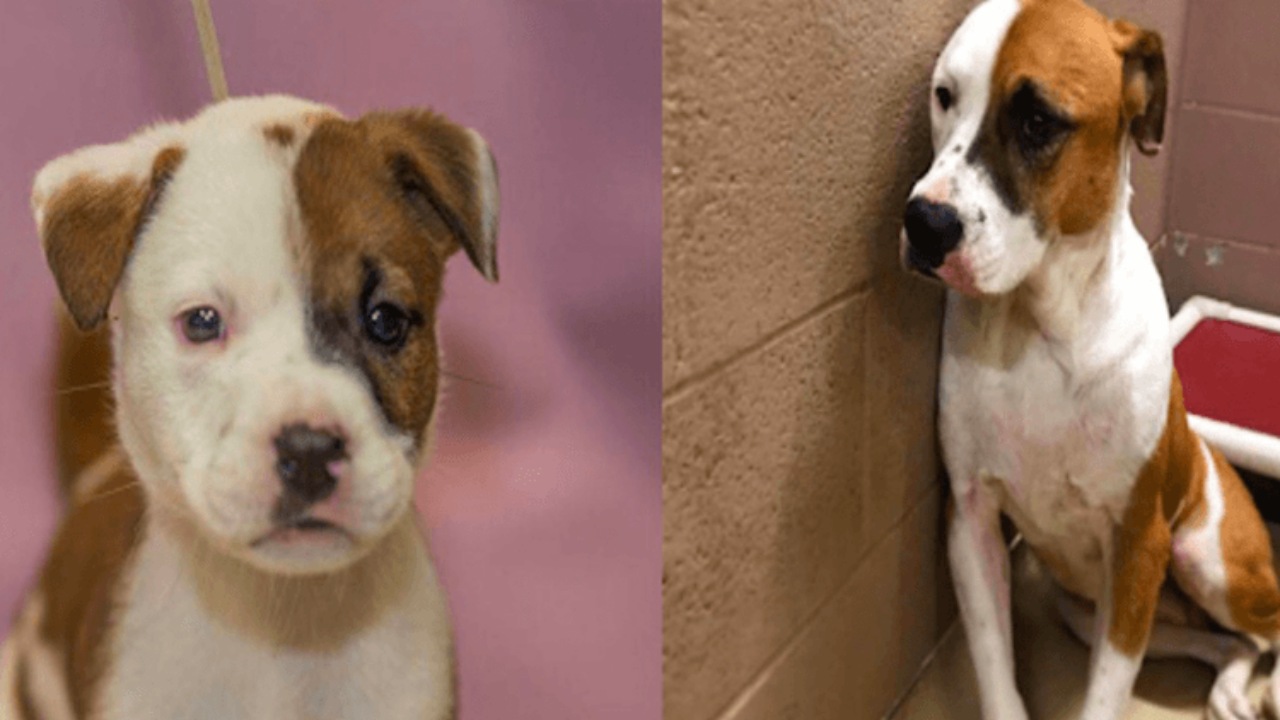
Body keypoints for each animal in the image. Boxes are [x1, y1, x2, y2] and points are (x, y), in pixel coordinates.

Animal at [906, 1, 1280, 717]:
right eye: (945, 95)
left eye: (1038, 121)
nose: (924, 223)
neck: (1040, 328)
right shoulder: (971, 524)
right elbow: (994, 666)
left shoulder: (1138, 546)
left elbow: (1105, 696)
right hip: (1098, 612)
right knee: (1228, 644)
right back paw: (1227, 688)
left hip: (1205, 560)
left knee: (1268, 627)